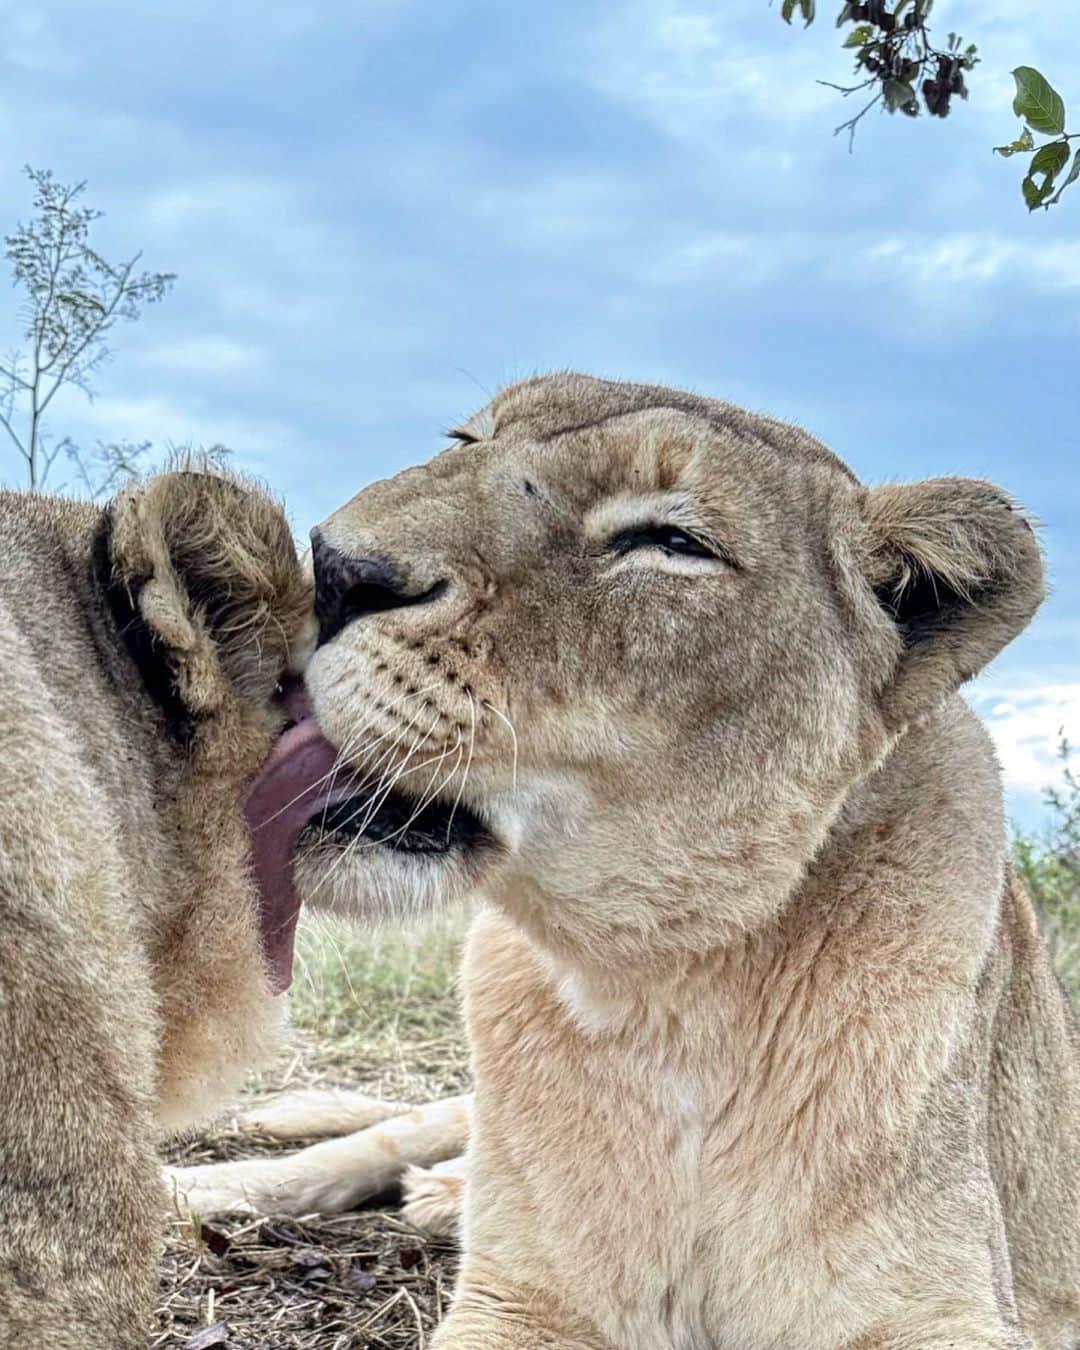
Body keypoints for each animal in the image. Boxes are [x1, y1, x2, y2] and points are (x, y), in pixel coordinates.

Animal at [171, 373, 1078, 1349]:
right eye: (465, 442)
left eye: (672, 542)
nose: (329, 567)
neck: (667, 1001)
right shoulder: (518, 1302)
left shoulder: (947, 1310)